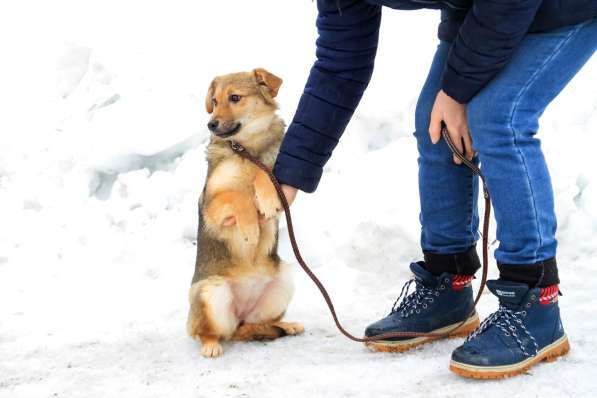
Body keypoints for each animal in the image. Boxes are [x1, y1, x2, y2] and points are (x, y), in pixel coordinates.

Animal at [186, 68, 302, 358]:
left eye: (235, 98)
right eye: (214, 101)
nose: (211, 124)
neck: (247, 150)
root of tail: (239, 316)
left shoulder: (276, 172)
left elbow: (265, 174)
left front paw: (266, 197)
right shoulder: (212, 204)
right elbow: (238, 196)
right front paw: (250, 228)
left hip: (284, 280)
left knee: (259, 323)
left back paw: (286, 325)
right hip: (210, 292)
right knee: (209, 332)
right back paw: (211, 345)